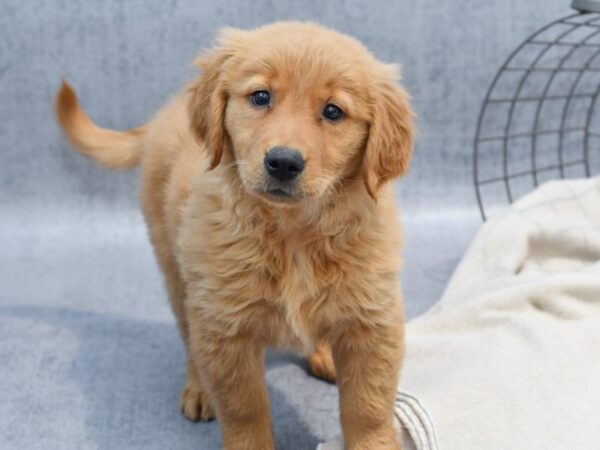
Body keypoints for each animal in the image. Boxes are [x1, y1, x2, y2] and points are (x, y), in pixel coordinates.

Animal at [55, 22, 412, 450]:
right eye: (260, 97)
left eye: (333, 112)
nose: (283, 162)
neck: (293, 233)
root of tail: (162, 116)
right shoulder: (226, 327)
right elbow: (245, 409)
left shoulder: (372, 321)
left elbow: (368, 408)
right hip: (179, 274)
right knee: (191, 339)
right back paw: (199, 390)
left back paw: (323, 353)